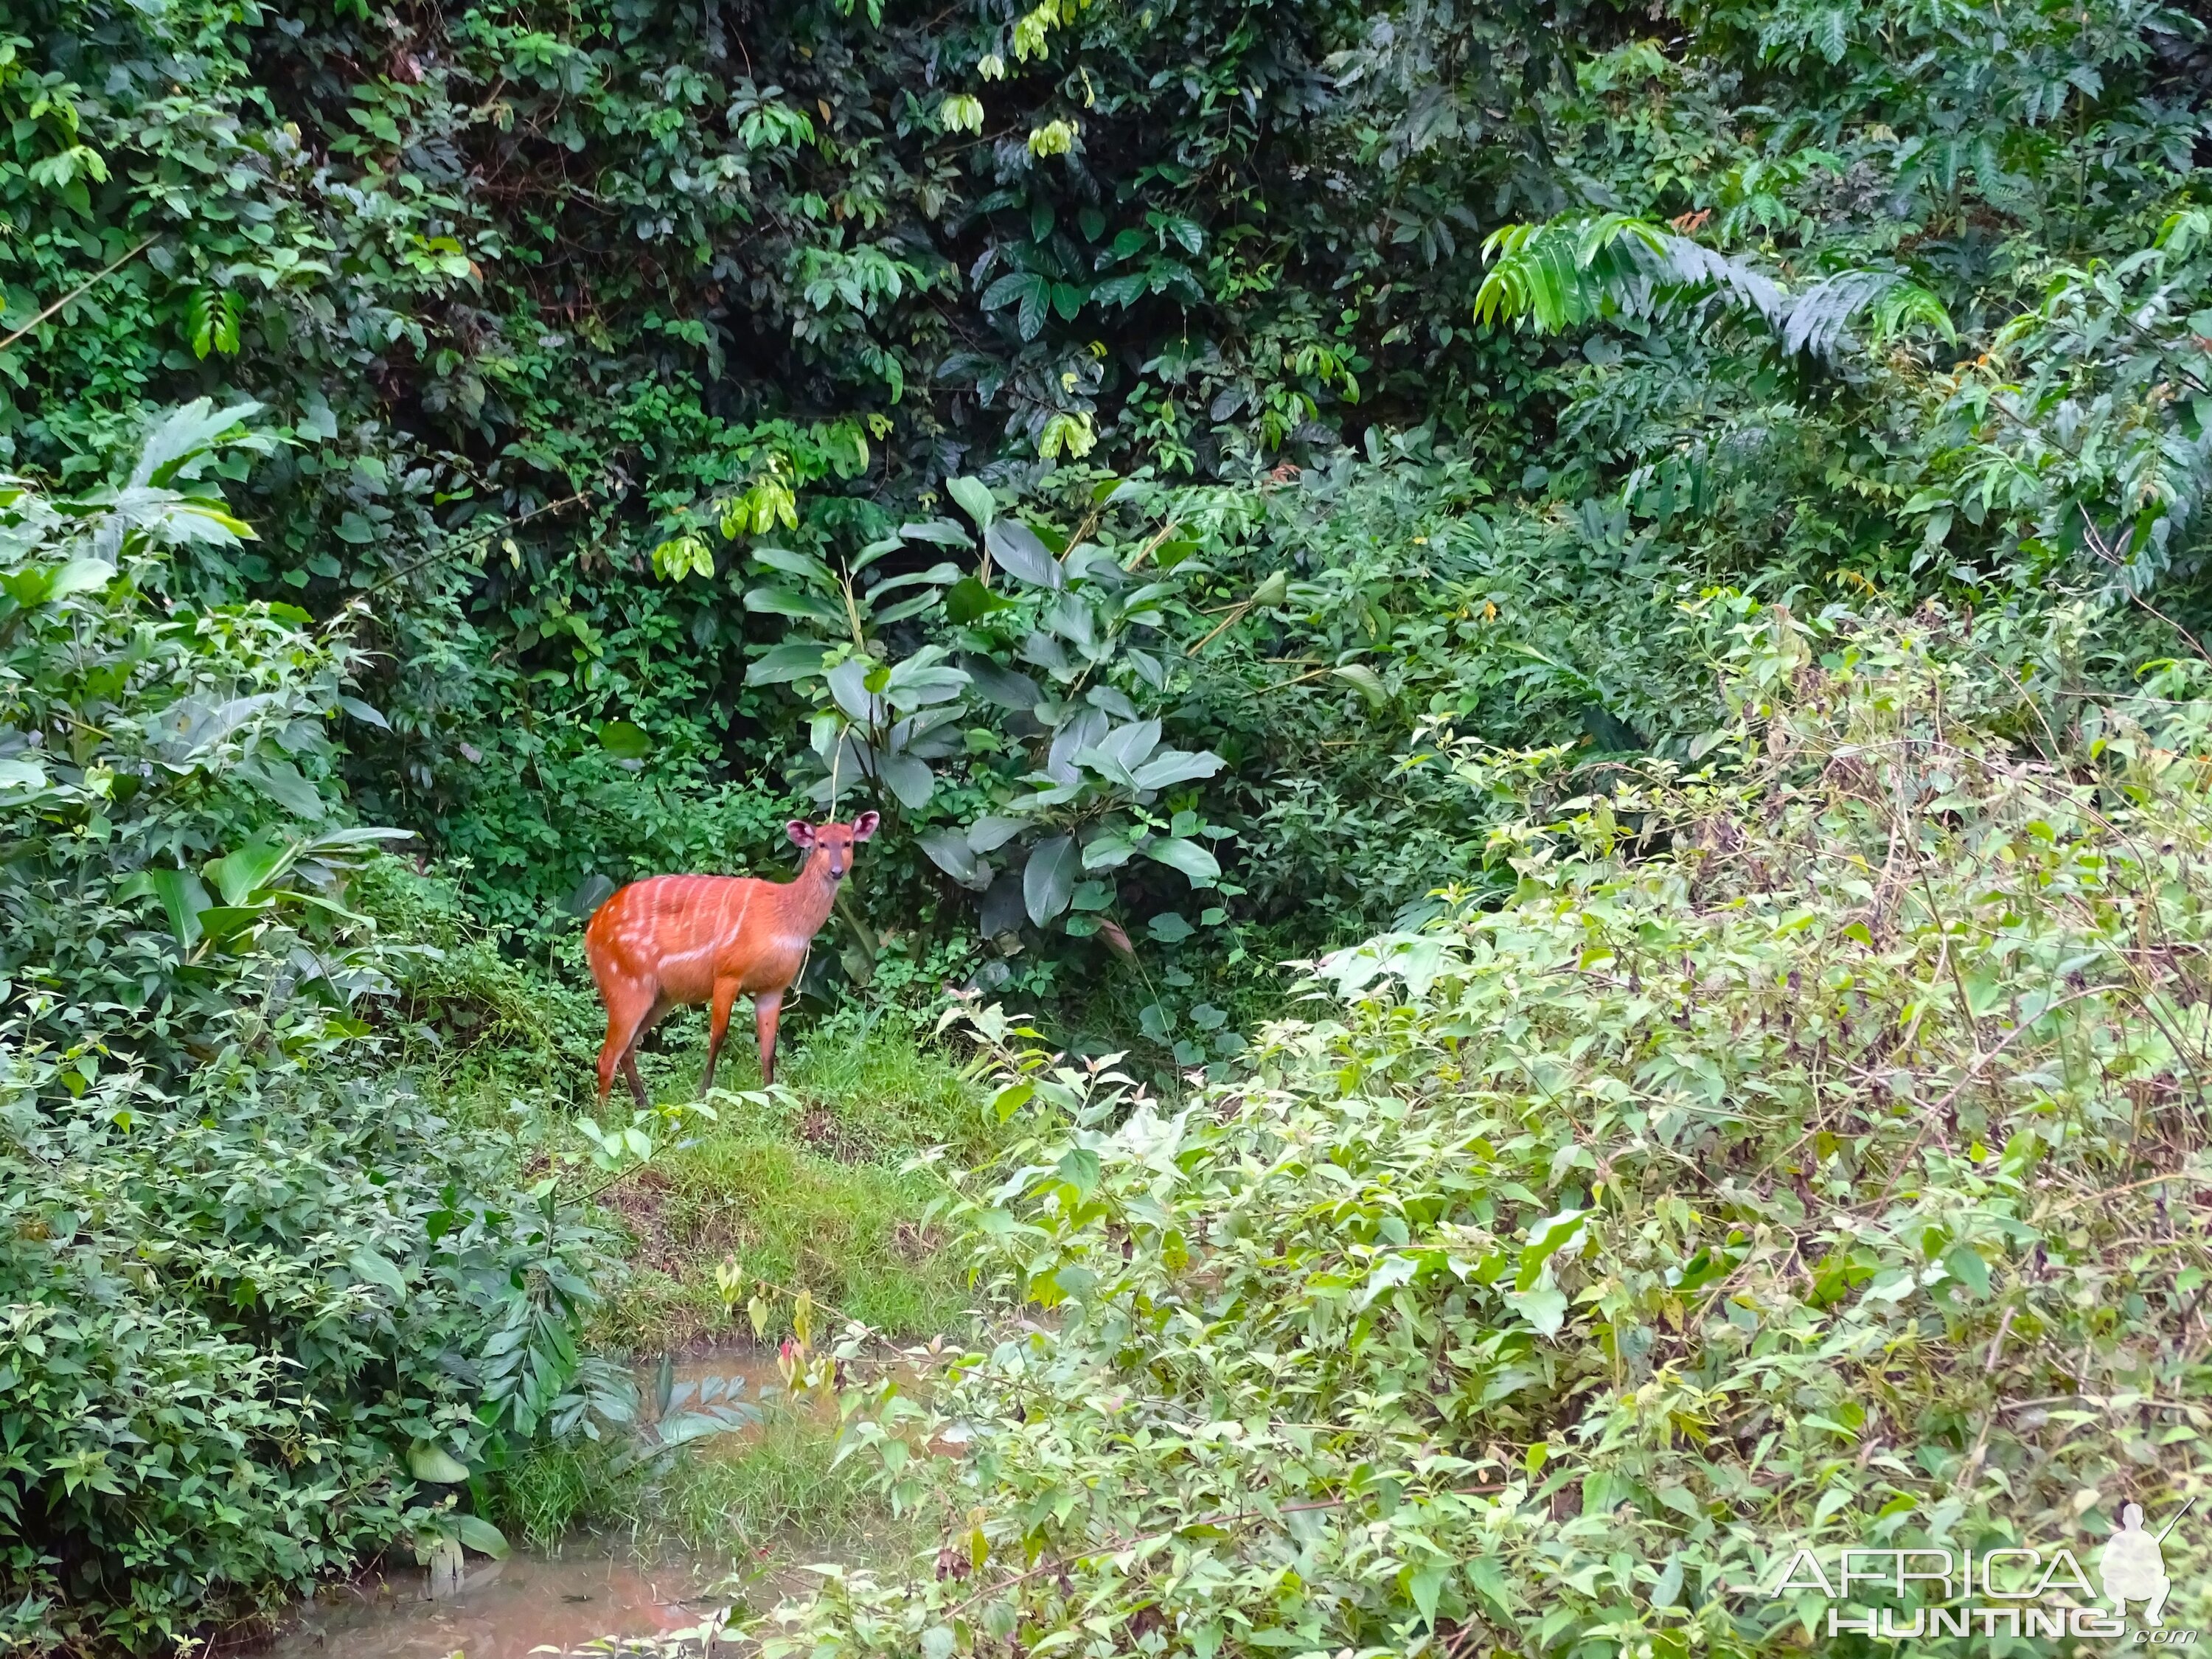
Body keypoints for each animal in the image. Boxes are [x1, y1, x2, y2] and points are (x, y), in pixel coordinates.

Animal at [584, 814, 876, 1110]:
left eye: (848, 843)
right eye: (821, 844)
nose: (837, 871)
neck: (783, 922)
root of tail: (592, 928)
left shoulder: (774, 985)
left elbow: (769, 1046)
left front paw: (771, 1097)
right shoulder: (728, 972)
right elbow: (717, 1035)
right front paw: (703, 1096)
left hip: (660, 995)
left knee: (628, 1048)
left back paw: (643, 1106)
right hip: (625, 983)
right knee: (607, 1057)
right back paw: (603, 1117)